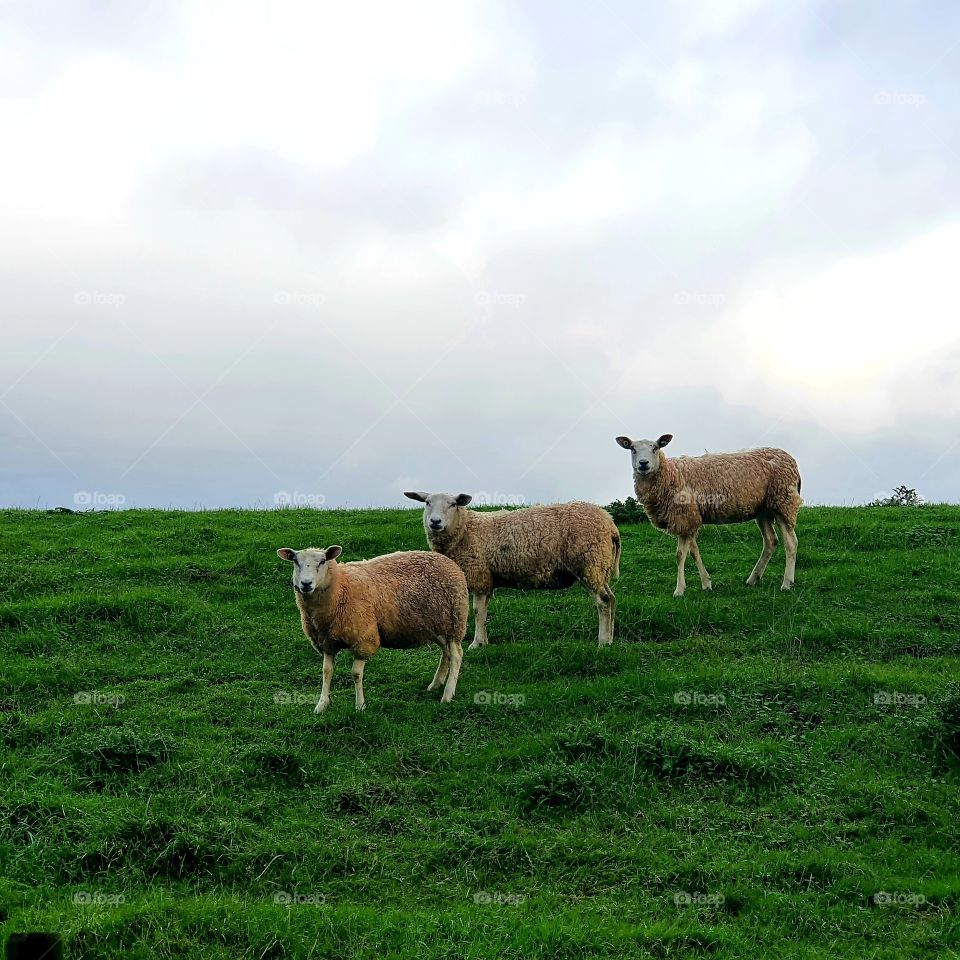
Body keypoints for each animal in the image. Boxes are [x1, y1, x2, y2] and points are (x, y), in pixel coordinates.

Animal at [277, 545, 469, 712]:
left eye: (323, 561)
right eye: (295, 561)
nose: (306, 584)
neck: (341, 587)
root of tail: (450, 562)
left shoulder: (364, 638)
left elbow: (356, 674)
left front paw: (360, 706)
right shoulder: (327, 642)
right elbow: (326, 672)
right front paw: (321, 705)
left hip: (455, 620)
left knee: (457, 655)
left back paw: (447, 694)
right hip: (436, 625)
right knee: (446, 651)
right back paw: (436, 684)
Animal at [402, 493, 621, 647]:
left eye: (453, 504)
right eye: (427, 503)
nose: (435, 522)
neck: (466, 529)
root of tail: (610, 524)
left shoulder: (479, 576)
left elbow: (477, 611)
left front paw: (477, 643)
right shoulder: (488, 580)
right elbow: (484, 612)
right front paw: (484, 641)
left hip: (589, 563)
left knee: (603, 601)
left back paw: (602, 641)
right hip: (600, 567)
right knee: (611, 599)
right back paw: (610, 639)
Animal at [614, 434, 802, 596]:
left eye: (655, 448)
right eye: (632, 449)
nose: (643, 464)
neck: (669, 473)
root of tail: (792, 461)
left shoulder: (684, 516)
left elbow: (680, 555)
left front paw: (679, 590)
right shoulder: (690, 518)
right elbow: (693, 551)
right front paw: (706, 583)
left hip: (783, 501)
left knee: (791, 543)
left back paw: (786, 583)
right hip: (763, 510)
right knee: (771, 541)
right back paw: (753, 579)